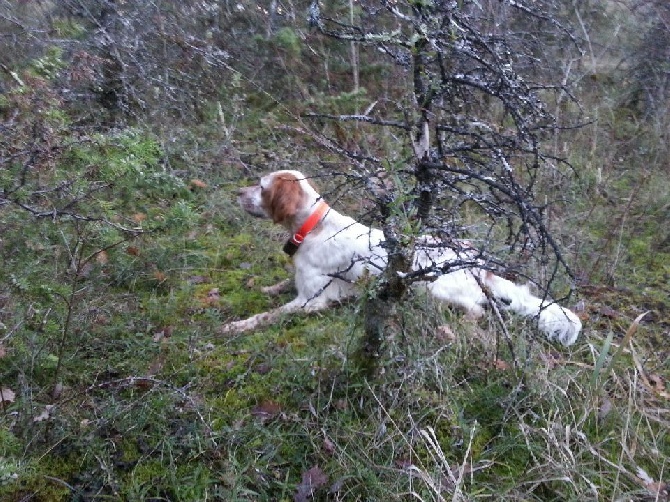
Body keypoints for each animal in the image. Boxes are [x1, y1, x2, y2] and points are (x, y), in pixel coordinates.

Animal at [220, 170, 584, 346]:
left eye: (261, 186)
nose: (236, 193)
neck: (313, 228)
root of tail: (478, 264)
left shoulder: (312, 301)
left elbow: (266, 316)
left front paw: (236, 326)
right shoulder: (301, 287)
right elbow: (280, 287)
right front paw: (263, 288)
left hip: (432, 288)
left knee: (478, 311)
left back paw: (451, 330)